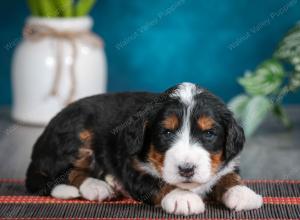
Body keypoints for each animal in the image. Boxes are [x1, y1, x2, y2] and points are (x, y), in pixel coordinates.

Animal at [25, 82, 262, 215]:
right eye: (166, 133)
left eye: (209, 134)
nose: (186, 169)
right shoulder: (133, 167)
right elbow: (157, 182)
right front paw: (182, 198)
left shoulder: (227, 162)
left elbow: (228, 176)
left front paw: (242, 193)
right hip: (75, 134)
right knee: (67, 173)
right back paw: (96, 186)